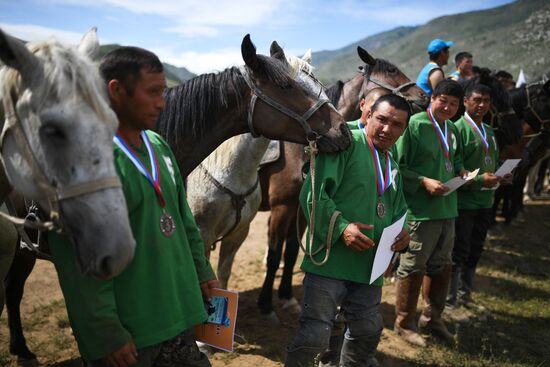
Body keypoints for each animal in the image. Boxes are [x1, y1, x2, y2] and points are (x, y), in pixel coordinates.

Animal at [185, 42, 334, 300]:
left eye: (320, 87)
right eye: (287, 86)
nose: (342, 129)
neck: (230, 171)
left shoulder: (239, 234)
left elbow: (223, 275)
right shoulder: (203, 234)